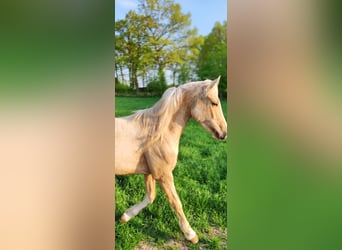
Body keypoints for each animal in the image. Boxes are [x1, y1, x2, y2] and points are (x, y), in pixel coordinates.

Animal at [115, 76, 227, 244]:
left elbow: (150, 197)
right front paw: (191, 235)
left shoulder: (149, 173)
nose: (224, 133)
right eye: (214, 102)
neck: (157, 134)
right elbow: (176, 203)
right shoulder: (164, 175)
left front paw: (124, 217)